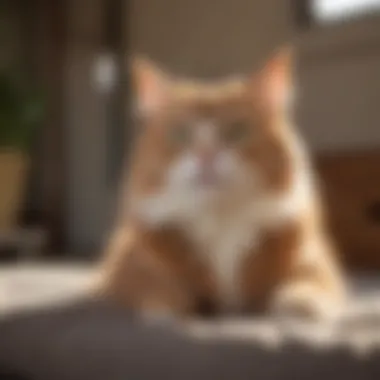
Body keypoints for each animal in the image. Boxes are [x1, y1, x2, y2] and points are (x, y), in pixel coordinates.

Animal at [99, 47, 346, 320]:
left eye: (236, 131)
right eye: (181, 133)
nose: (206, 155)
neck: (219, 221)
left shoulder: (315, 260)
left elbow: (308, 283)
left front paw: (301, 304)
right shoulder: (127, 269)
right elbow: (156, 287)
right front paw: (166, 308)